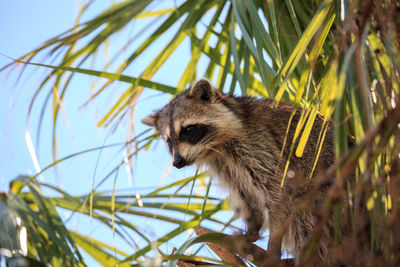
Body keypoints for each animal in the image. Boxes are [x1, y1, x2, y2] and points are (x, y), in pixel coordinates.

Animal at [142, 78, 336, 264]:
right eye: (168, 141)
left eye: (188, 130)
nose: (177, 162)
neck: (216, 147)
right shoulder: (225, 166)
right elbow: (246, 194)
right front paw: (252, 230)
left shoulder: (259, 144)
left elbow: (278, 192)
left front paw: (273, 246)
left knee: (306, 213)